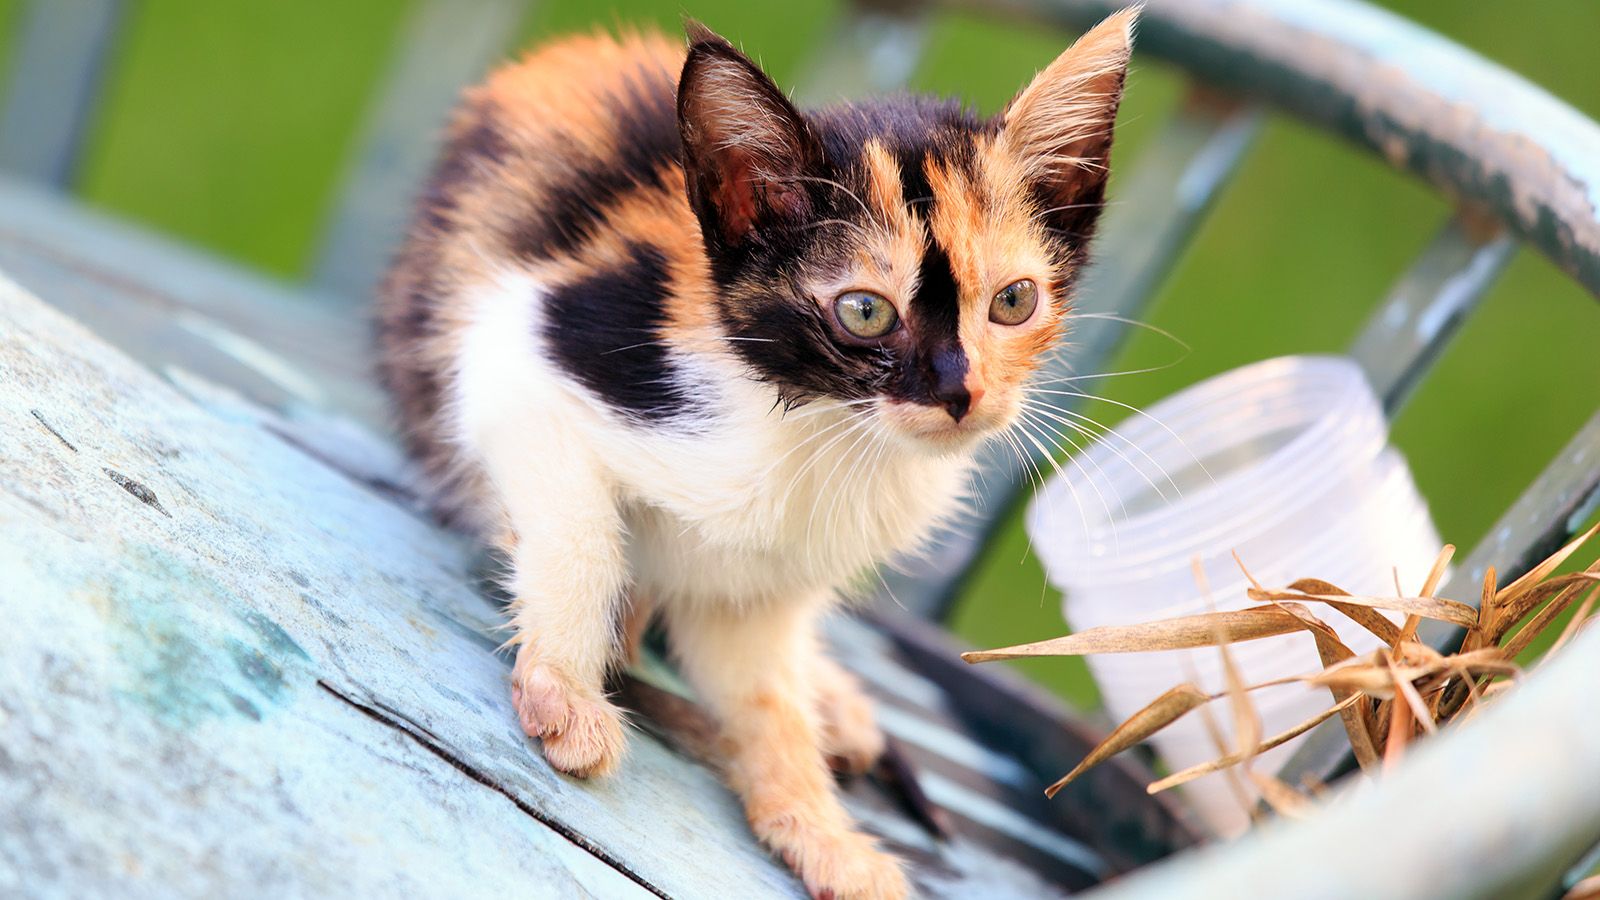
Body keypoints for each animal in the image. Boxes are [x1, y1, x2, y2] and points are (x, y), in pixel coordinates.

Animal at [377, 10, 1139, 890]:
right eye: (865, 313)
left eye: (1014, 301)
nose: (960, 393)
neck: (821, 422)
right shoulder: (526, 350)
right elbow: (583, 537)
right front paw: (565, 690)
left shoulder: (760, 591)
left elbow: (765, 692)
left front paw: (818, 829)